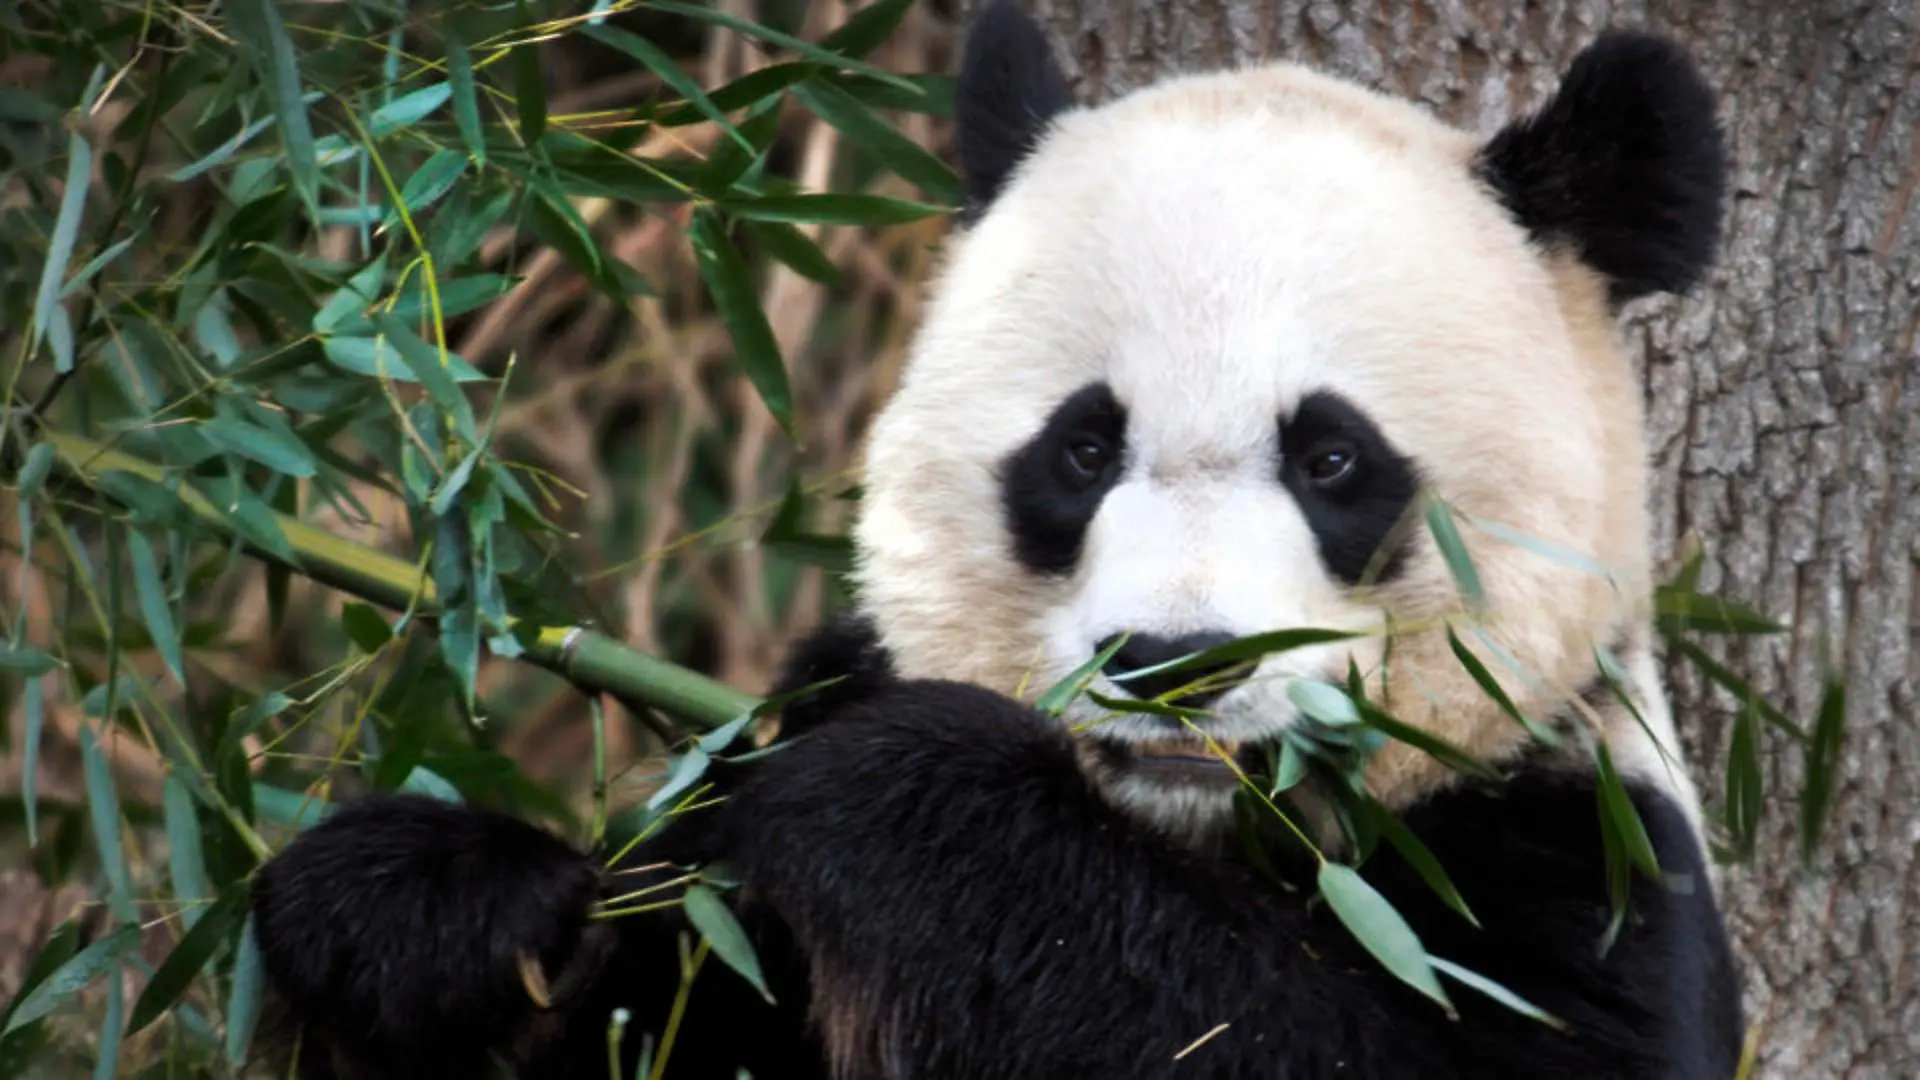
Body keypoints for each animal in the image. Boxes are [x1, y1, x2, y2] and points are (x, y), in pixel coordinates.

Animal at [248, 2, 1745, 1078]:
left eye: (1332, 458)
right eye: (1082, 450)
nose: (1174, 662)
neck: (1180, 836)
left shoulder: (1573, 851)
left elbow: (1261, 1038)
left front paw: (908, 791)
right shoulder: (752, 881)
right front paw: (441, 917)